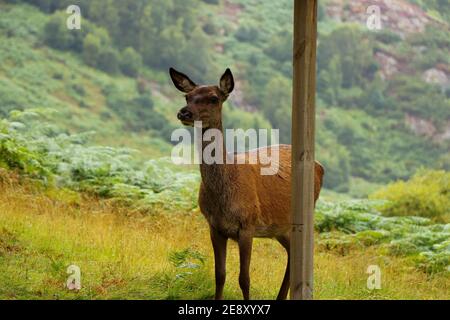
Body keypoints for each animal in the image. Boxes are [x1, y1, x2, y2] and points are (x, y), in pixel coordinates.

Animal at [169, 67, 324, 300]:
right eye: (187, 96)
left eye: (214, 98)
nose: (184, 113)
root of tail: (320, 167)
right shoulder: (214, 226)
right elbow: (220, 274)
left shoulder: (248, 225)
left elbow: (244, 278)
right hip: (279, 229)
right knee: (291, 253)